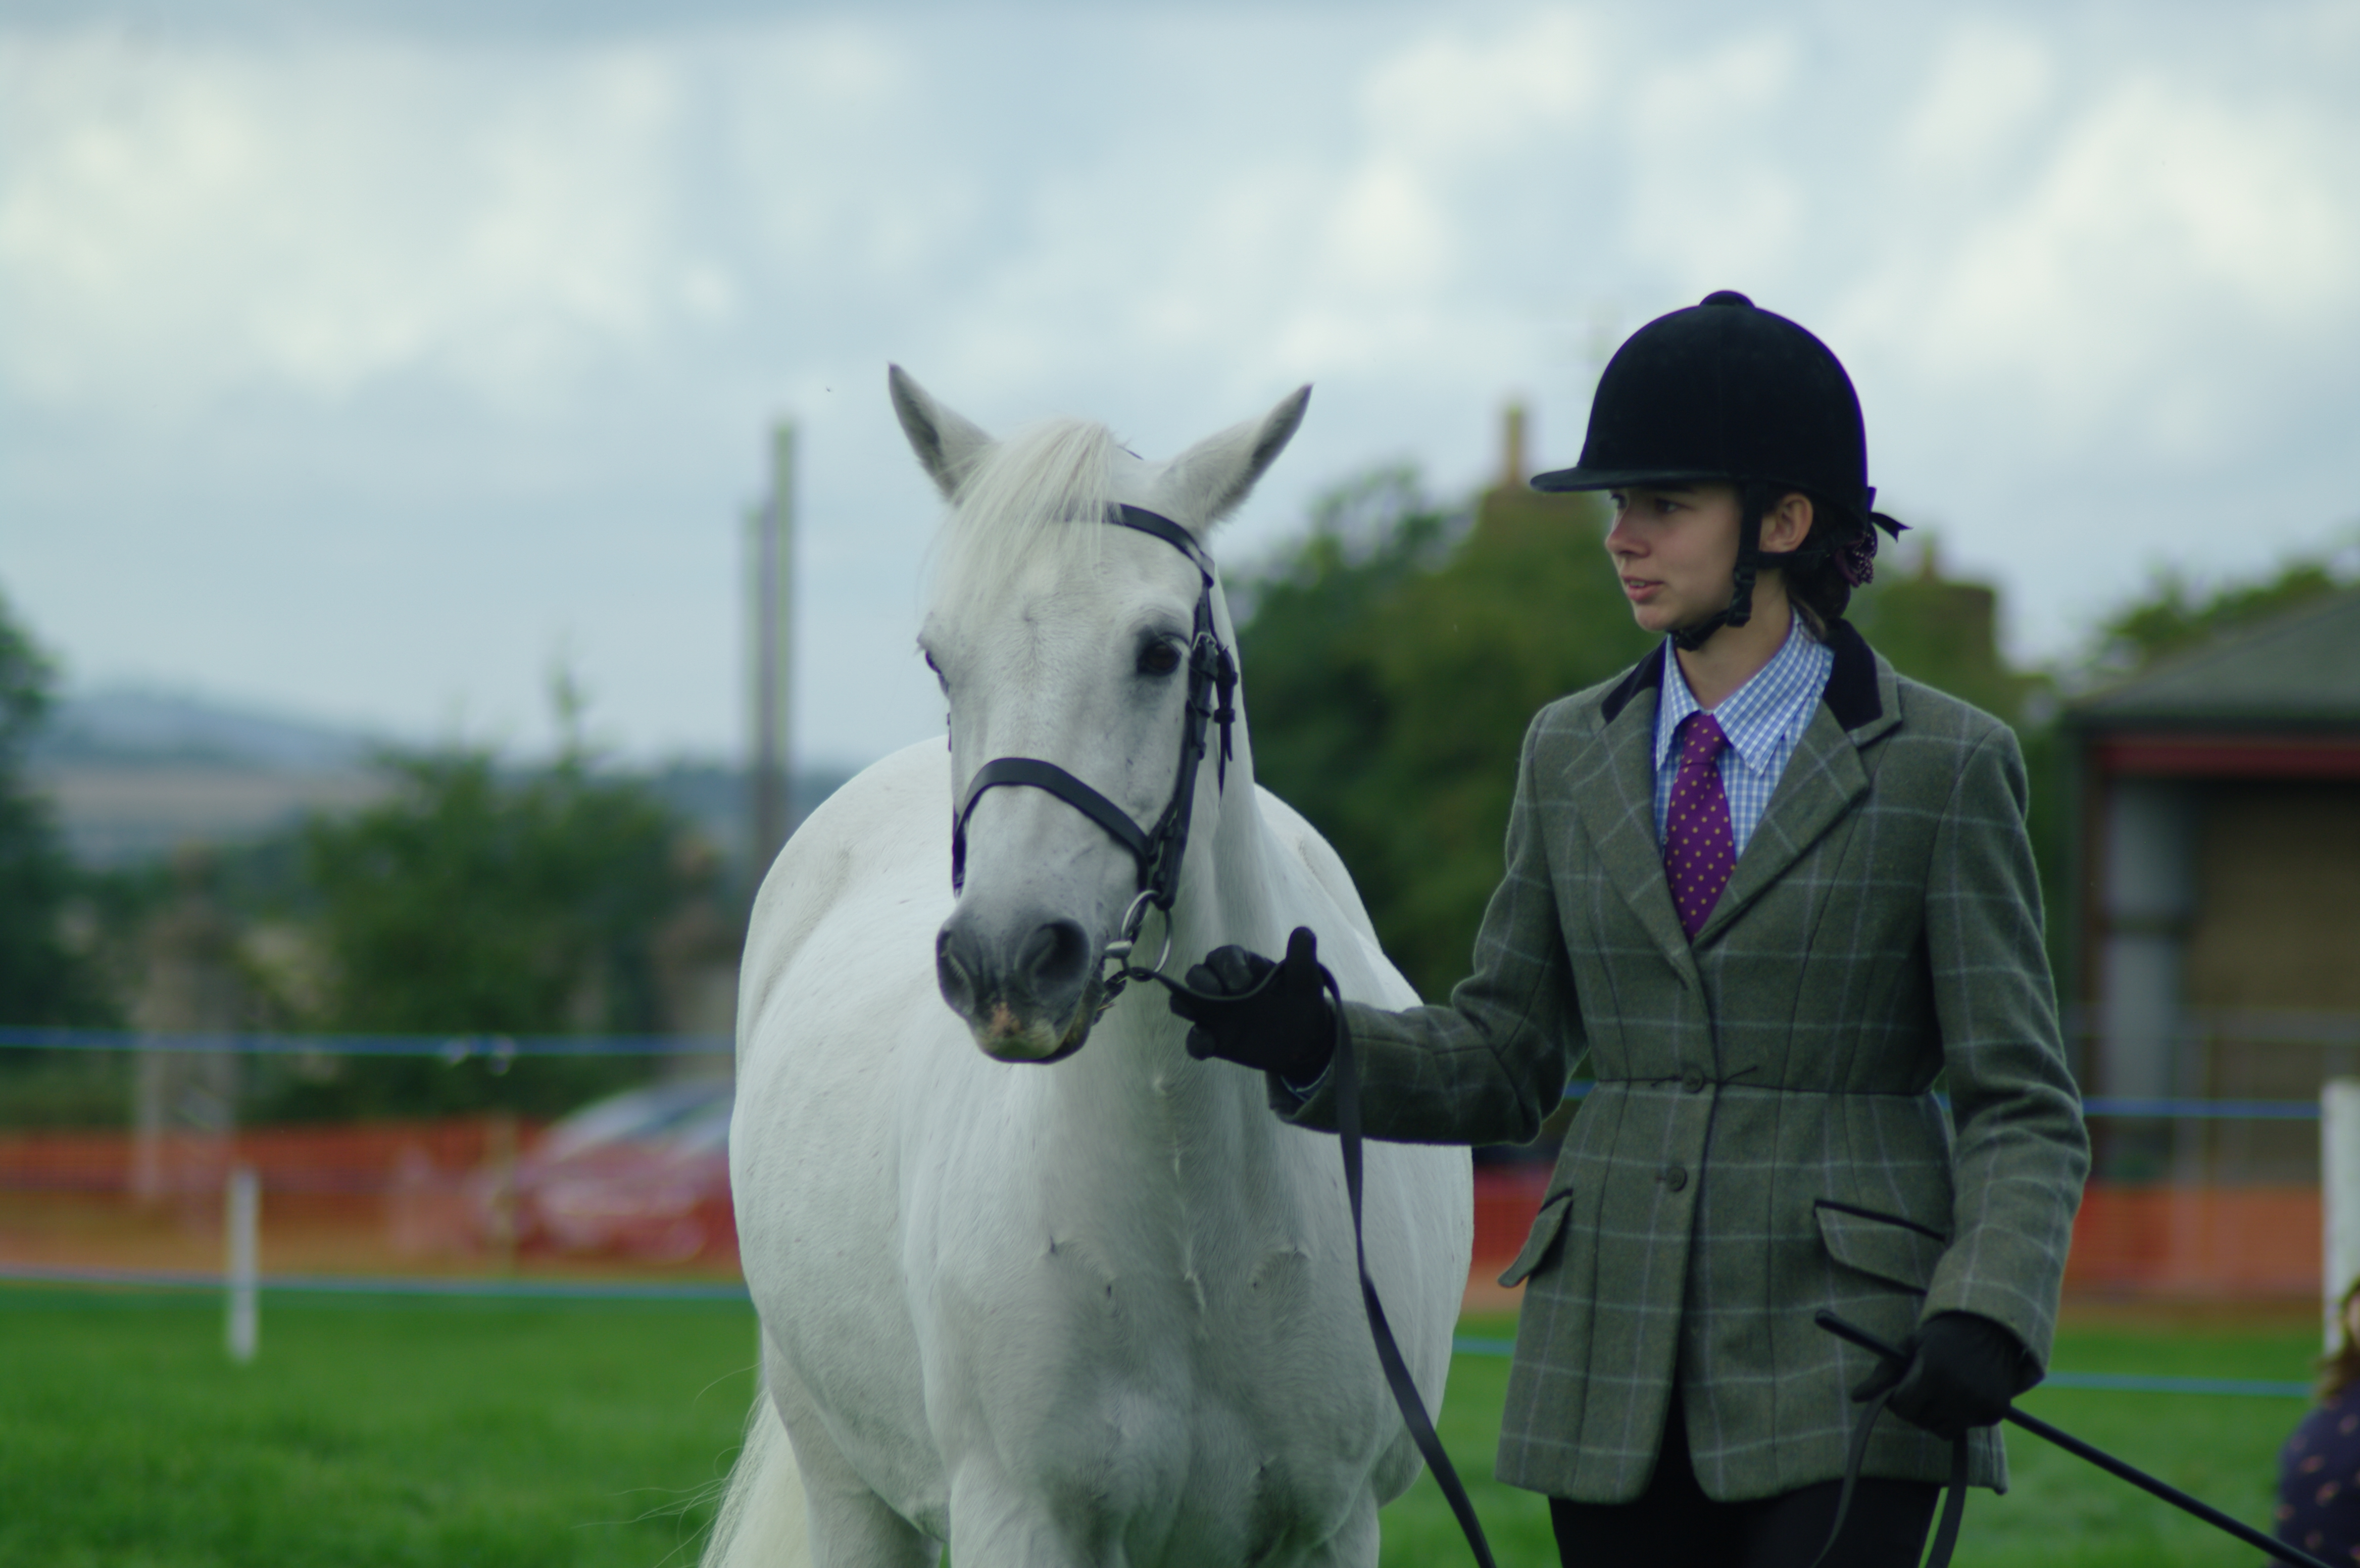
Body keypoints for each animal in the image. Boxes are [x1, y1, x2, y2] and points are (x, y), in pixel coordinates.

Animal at [706, 368, 1473, 1568]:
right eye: (941, 656)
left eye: (1158, 650)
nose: (1007, 957)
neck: (1196, 1220)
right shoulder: (1025, 1519)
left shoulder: (1330, 1527)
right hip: (846, 1481)